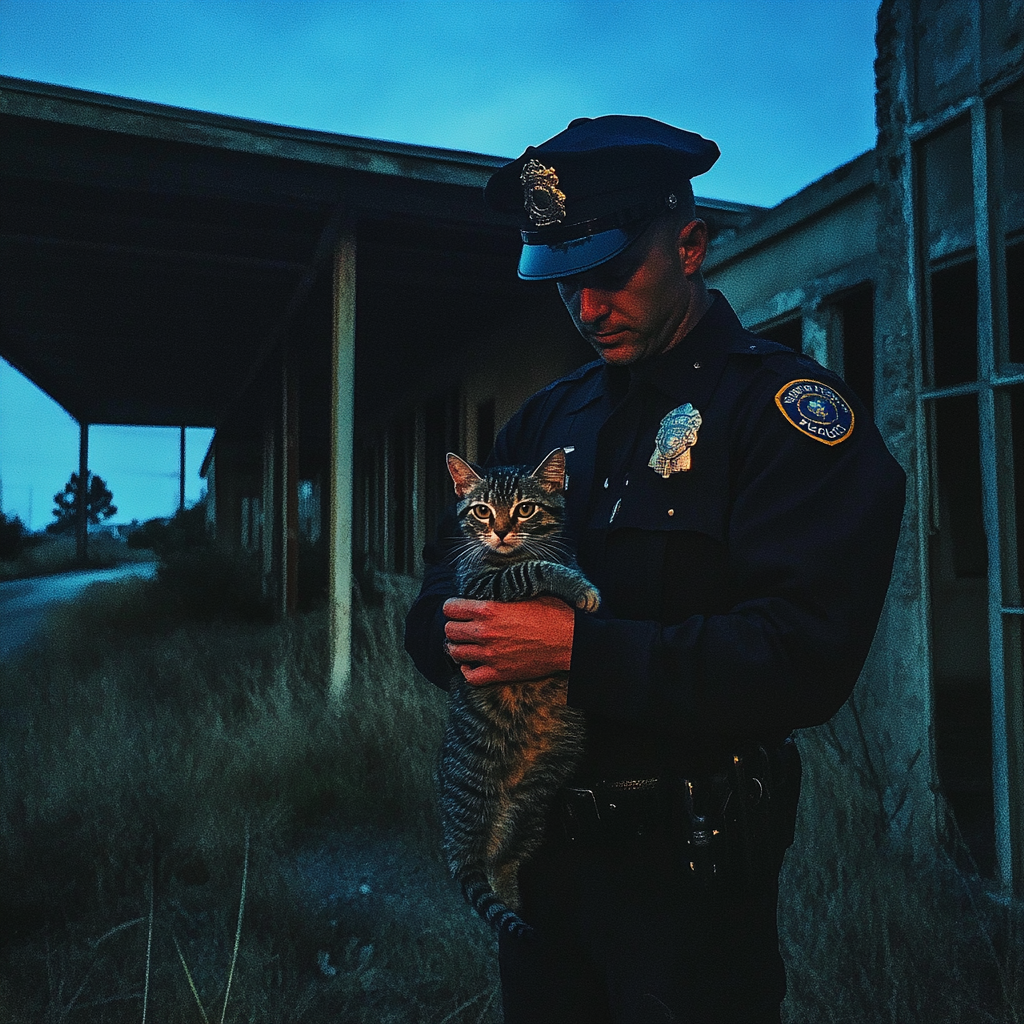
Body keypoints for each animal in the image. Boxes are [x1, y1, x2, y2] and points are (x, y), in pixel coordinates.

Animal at [438, 448, 598, 937]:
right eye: (481, 511)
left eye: (524, 509)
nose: (502, 531)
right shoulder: (477, 585)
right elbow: (533, 569)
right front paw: (578, 587)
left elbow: (547, 561)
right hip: (472, 797)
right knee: (475, 865)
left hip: (533, 807)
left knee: (503, 858)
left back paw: (511, 897)